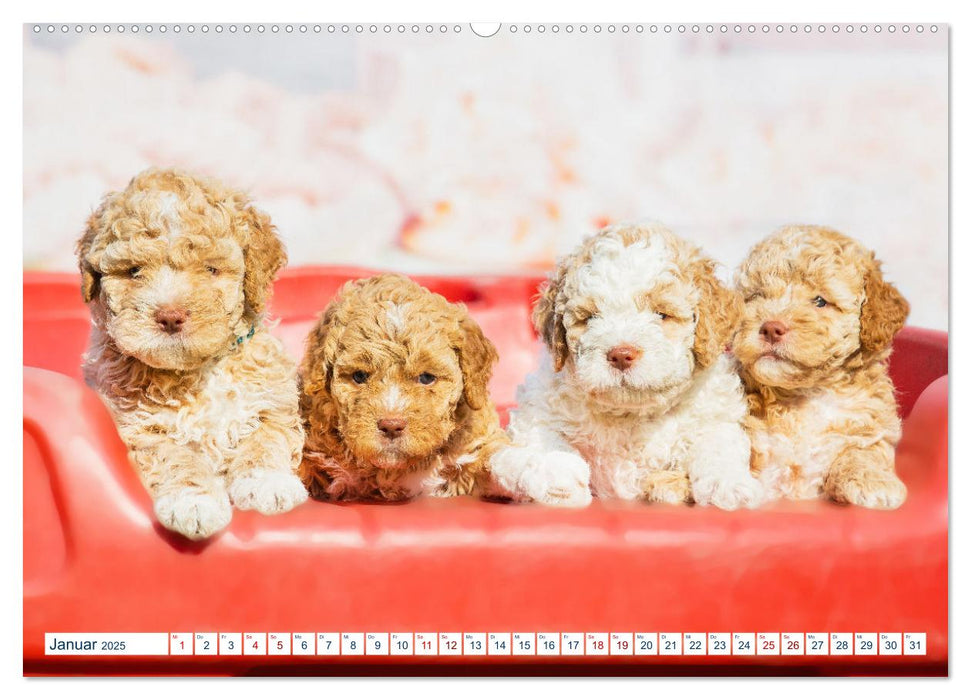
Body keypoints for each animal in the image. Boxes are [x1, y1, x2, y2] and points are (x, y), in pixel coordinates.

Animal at [79, 170, 308, 540]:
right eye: (133, 271)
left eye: (211, 270)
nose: (170, 316)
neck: (194, 373)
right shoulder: (139, 428)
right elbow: (176, 458)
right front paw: (194, 503)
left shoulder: (271, 400)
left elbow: (265, 438)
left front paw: (266, 483)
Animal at [494, 223, 768, 508]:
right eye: (589, 318)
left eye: (662, 314)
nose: (621, 354)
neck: (630, 414)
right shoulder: (538, 410)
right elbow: (542, 440)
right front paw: (557, 478)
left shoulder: (714, 416)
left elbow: (717, 446)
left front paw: (730, 485)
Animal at [736, 227, 912, 512]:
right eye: (757, 296)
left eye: (820, 301)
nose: (770, 328)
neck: (806, 394)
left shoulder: (871, 429)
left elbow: (863, 452)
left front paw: (874, 483)